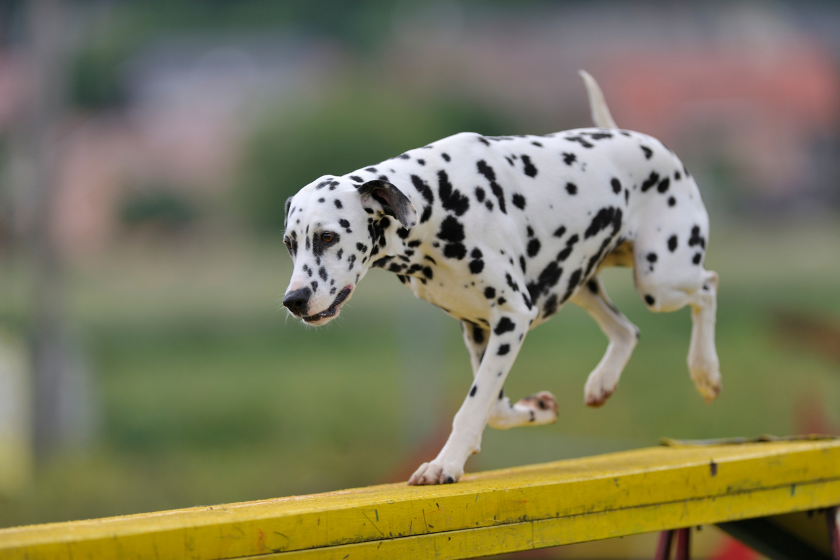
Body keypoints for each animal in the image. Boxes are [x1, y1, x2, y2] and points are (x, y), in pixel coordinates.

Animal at [282, 72, 720, 486]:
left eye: (327, 236)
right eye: (289, 243)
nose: (294, 300)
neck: (436, 199)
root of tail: (644, 140)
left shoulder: (513, 315)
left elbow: (474, 406)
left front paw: (445, 465)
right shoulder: (479, 327)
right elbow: (494, 408)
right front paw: (536, 408)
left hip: (660, 279)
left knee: (708, 286)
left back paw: (705, 371)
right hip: (577, 283)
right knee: (627, 330)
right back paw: (603, 381)